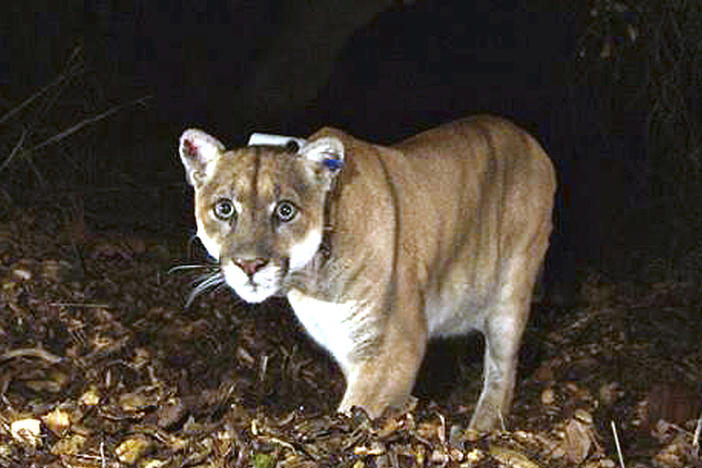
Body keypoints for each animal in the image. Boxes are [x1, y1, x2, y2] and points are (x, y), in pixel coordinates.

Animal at [179, 115, 560, 430]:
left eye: (285, 211)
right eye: (224, 208)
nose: (250, 265)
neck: (311, 283)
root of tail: (530, 139)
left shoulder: (395, 346)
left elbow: (356, 409)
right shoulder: (350, 347)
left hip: (512, 290)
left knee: (502, 370)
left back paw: (480, 428)